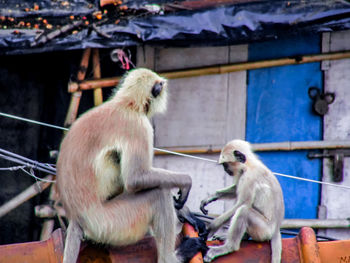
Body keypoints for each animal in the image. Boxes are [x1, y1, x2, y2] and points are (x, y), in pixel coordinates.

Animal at [56, 68, 196, 263]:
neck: (126, 104)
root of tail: (76, 218)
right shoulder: (137, 126)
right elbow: (135, 179)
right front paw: (185, 181)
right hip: (111, 223)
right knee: (158, 193)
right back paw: (170, 258)